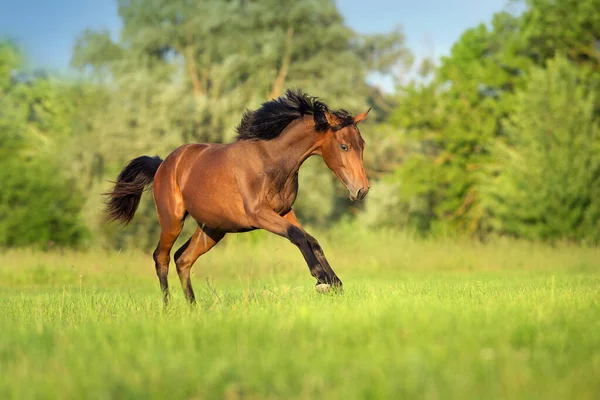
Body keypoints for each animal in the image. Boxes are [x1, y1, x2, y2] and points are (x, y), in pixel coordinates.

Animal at [105, 90, 372, 304]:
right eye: (344, 146)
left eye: (362, 144)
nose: (361, 190)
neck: (270, 160)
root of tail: (163, 165)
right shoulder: (259, 215)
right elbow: (297, 236)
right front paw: (321, 279)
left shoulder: (284, 211)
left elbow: (311, 239)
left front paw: (334, 281)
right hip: (173, 220)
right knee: (161, 257)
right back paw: (168, 307)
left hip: (212, 229)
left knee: (183, 259)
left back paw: (193, 308)